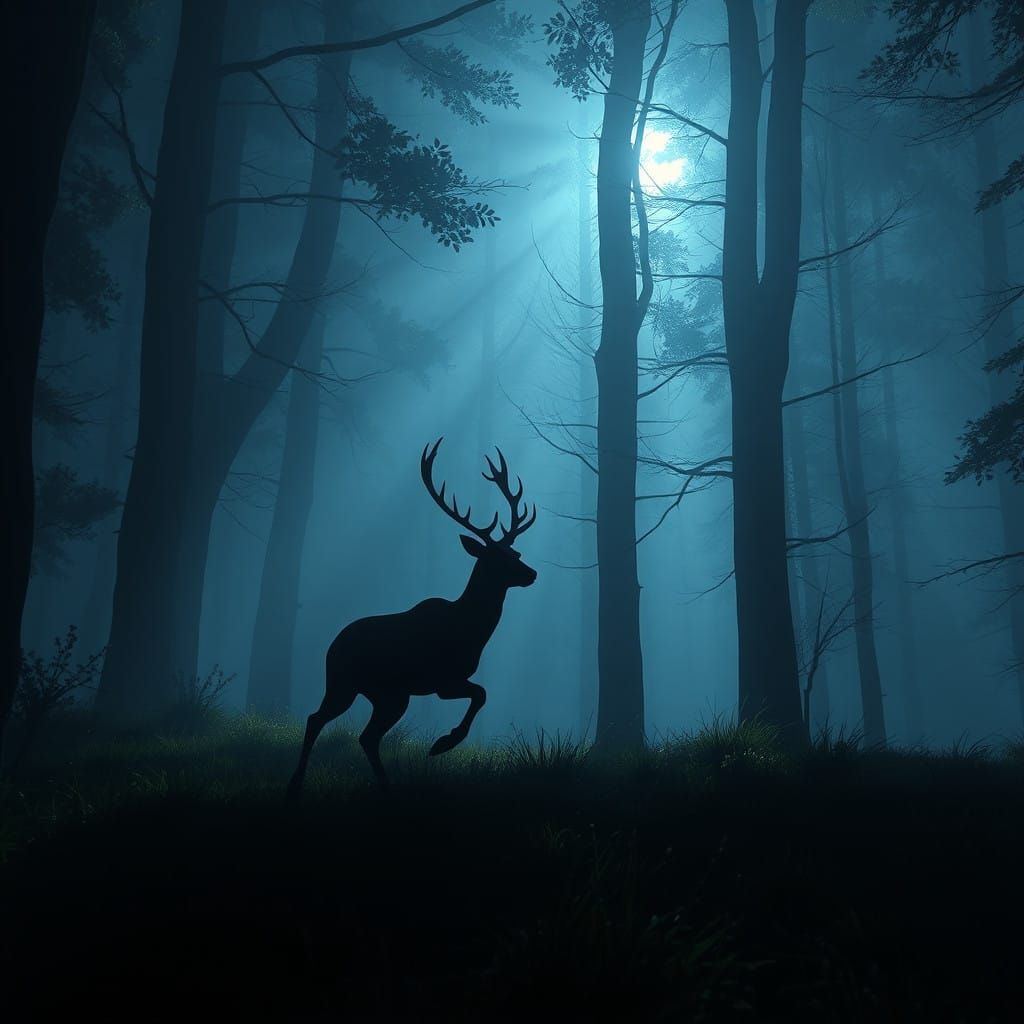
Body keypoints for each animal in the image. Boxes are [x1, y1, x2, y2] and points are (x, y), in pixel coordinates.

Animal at [286, 438, 537, 797]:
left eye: (515, 553)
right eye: (497, 557)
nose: (532, 573)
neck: (471, 630)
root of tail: (332, 645)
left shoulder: (438, 683)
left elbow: (481, 693)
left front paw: (443, 742)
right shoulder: (443, 680)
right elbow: (481, 693)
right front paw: (444, 742)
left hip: (390, 695)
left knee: (367, 736)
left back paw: (387, 786)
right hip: (343, 682)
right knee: (316, 718)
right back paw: (295, 783)